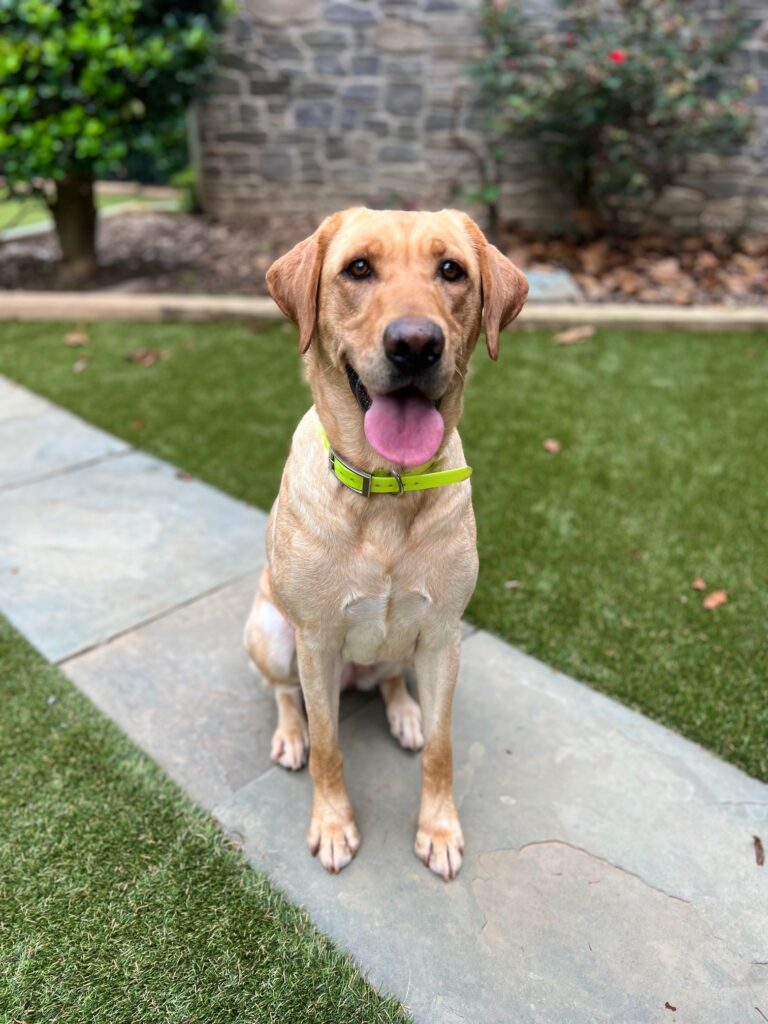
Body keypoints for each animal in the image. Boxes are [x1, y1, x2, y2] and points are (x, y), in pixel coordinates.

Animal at [246, 209, 528, 880]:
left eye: (451, 269)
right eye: (358, 268)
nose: (416, 344)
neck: (388, 491)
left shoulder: (444, 634)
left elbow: (444, 747)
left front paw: (439, 829)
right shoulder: (315, 640)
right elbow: (329, 745)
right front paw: (333, 826)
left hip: (408, 646)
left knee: (394, 678)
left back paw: (405, 715)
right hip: (270, 635)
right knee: (284, 695)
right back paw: (290, 734)